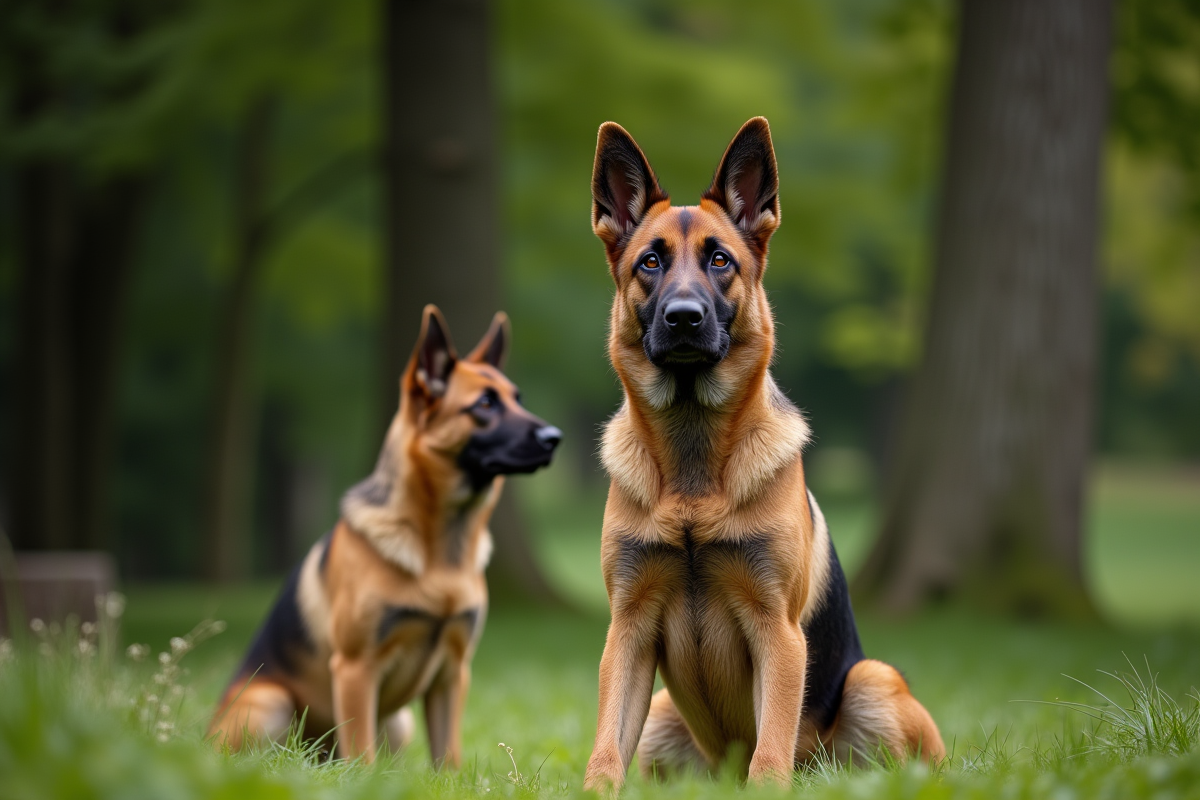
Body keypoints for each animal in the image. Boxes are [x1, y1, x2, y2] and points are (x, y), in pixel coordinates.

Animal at [210, 303, 561, 767]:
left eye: (517, 400)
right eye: (485, 404)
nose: (555, 438)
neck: (439, 552)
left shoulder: (452, 673)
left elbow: (448, 757)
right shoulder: (356, 669)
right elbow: (362, 755)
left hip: (398, 723)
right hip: (272, 703)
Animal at [580, 120, 945, 796]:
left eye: (720, 260)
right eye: (650, 262)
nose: (684, 318)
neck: (694, 473)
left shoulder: (778, 633)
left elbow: (771, 746)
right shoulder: (628, 632)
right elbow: (605, 749)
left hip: (873, 680)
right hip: (662, 716)